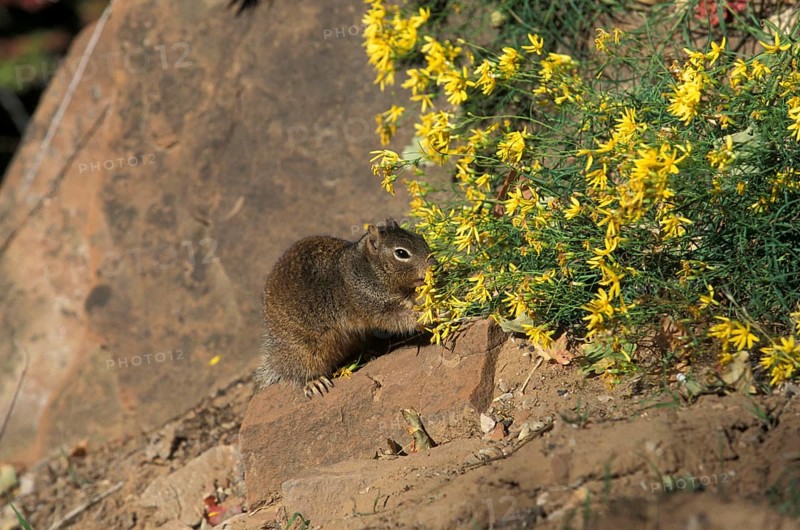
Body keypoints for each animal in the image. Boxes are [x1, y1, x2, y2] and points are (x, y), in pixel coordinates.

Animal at [255, 218, 433, 398]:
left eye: (420, 238)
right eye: (401, 253)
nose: (434, 265)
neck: (371, 269)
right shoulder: (375, 305)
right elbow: (400, 318)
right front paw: (429, 314)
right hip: (303, 350)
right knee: (296, 371)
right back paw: (313, 382)